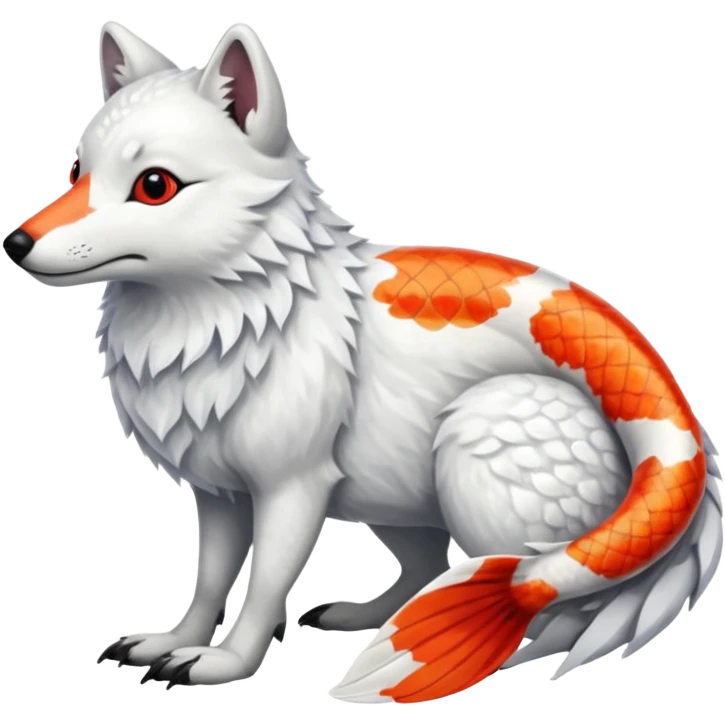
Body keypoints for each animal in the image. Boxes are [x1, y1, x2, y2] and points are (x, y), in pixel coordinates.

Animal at [3, 21, 722, 702]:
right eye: (76, 171)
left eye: (154, 185)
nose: (16, 242)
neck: (229, 316)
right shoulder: (219, 491)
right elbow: (210, 577)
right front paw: (175, 641)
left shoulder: (293, 486)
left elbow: (264, 583)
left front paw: (225, 663)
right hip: (386, 485)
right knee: (431, 562)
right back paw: (373, 614)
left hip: (479, 434)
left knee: (539, 591)